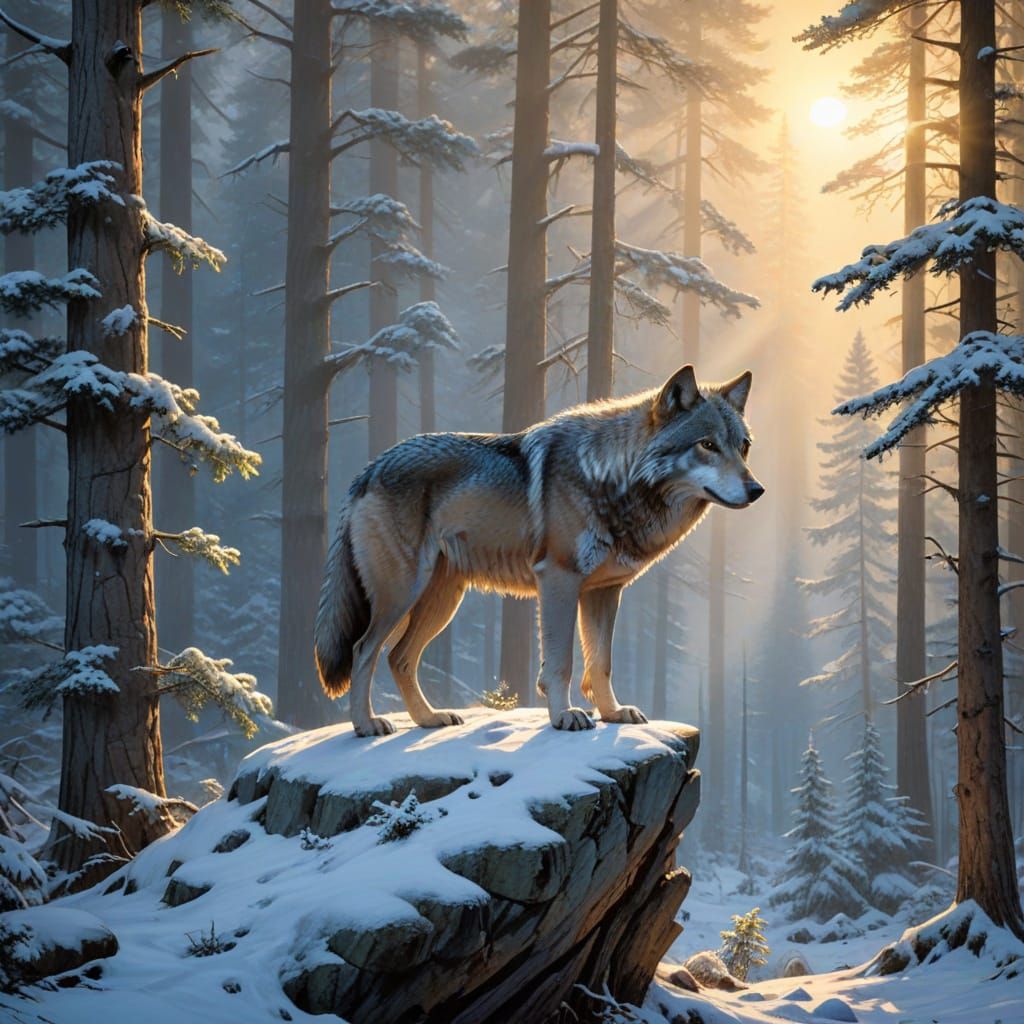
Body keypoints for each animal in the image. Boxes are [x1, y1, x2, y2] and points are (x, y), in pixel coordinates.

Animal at [314, 364, 763, 736]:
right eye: (707, 445)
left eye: (743, 446)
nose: (757, 489)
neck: (612, 479)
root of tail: (368, 469)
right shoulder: (559, 581)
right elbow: (561, 663)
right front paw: (565, 716)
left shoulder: (603, 593)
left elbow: (600, 663)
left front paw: (612, 713)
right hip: (402, 596)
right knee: (363, 651)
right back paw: (367, 725)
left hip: (438, 602)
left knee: (398, 657)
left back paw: (428, 719)